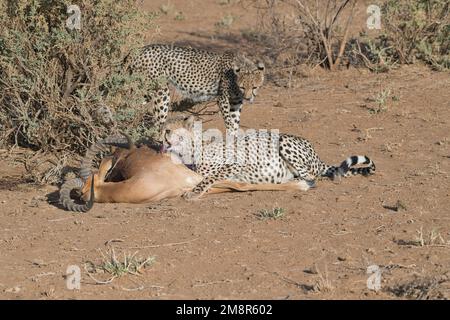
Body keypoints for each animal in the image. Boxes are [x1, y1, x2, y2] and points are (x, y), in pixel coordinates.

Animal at [128, 44, 266, 136]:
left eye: (255, 87)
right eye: (243, 86)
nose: (248, 98)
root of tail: (142, 49)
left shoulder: (236, 101)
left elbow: (235, 121)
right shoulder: (222, 99)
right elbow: (229, 121)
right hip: (160, 91)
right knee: (157, 120)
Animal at [163, 116, 374, 199]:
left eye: (171, 129)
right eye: (165, 127)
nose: (163, 134)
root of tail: (316, 154)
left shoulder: (237, 164)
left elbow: (210, 177)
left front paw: (193, 192)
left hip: (283, 141)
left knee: (311, 178)